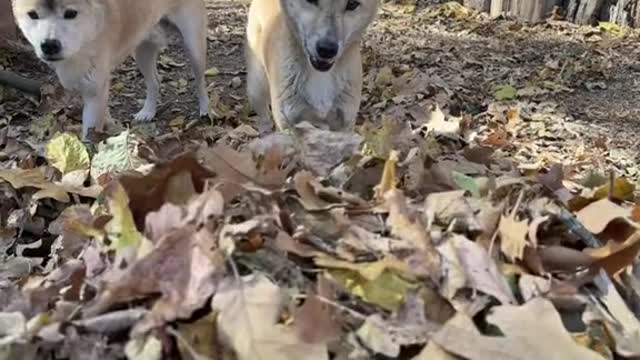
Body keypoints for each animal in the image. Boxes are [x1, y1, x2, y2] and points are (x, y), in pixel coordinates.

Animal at [244, 0, 376, 132]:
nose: (327, 50)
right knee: (264, 116)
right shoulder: (286, 124)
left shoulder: (345, 123)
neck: (320, 75)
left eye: (352, 4)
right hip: (256, 88)